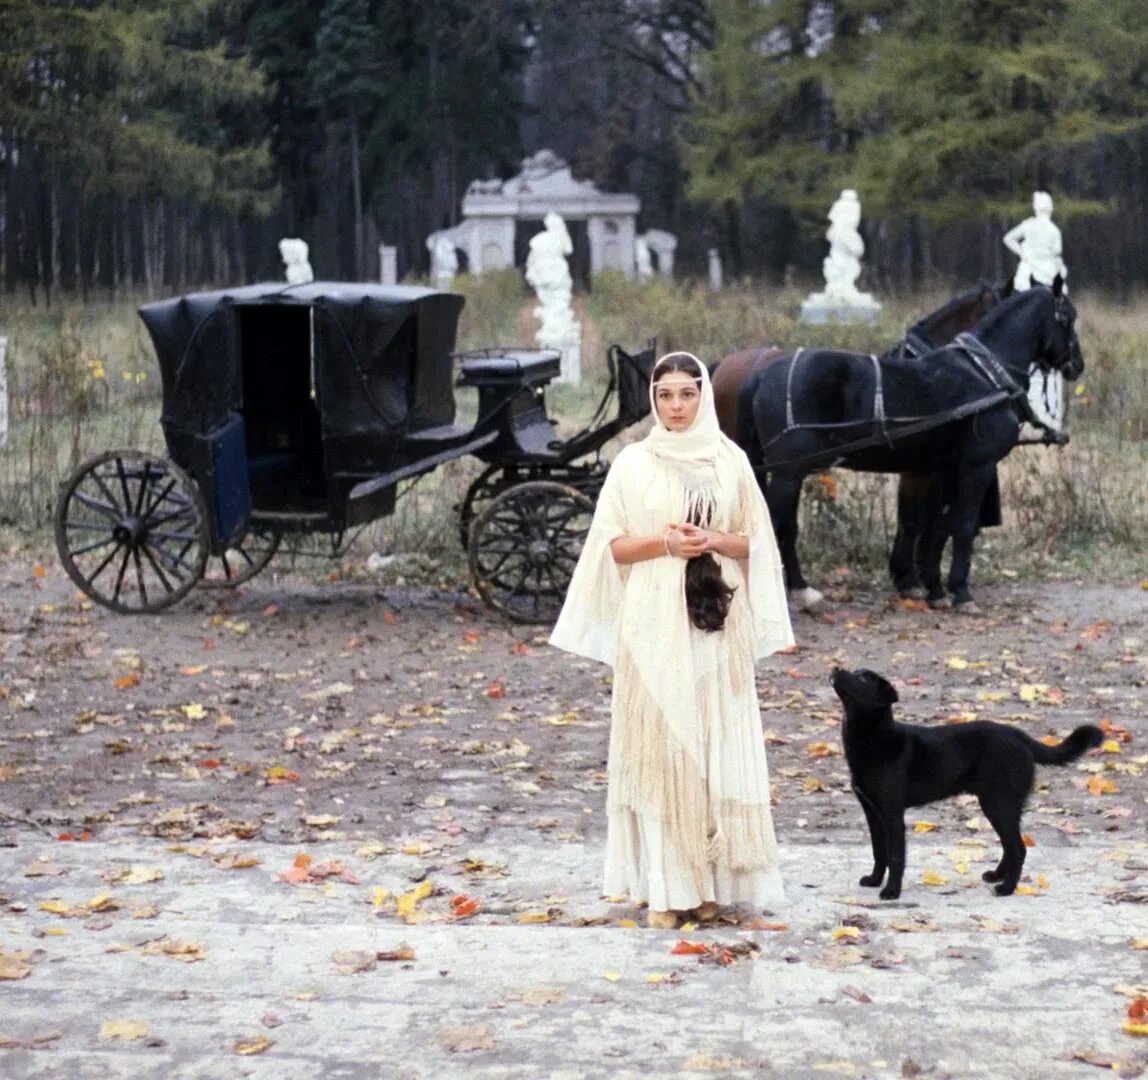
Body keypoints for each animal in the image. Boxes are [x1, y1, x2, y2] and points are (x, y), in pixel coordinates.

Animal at [739, 282, 1079, 610]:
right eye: (1068, 317)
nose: (1078, 364)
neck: (984, 374)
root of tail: (762, 374)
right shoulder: (976, 467)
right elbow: (962, 525)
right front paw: (960, 591)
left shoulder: (938, 469)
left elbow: (933, 525)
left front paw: (932, 588)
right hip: (789, 473)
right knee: (779, 527)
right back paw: (799, 589)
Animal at [835, 661, 1102, 899]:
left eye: (863, 678)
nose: (836, 668)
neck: (874, 738)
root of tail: (1020, 736)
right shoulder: (872, 813)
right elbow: (878, 851)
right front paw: (874, 880)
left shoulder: (892, 814)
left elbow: (895, 856)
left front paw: (891, 891)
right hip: (999, 806)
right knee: (1010, 846)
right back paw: (996, 876)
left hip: (998, 804)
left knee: (1018, 848)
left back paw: (1006, 889)